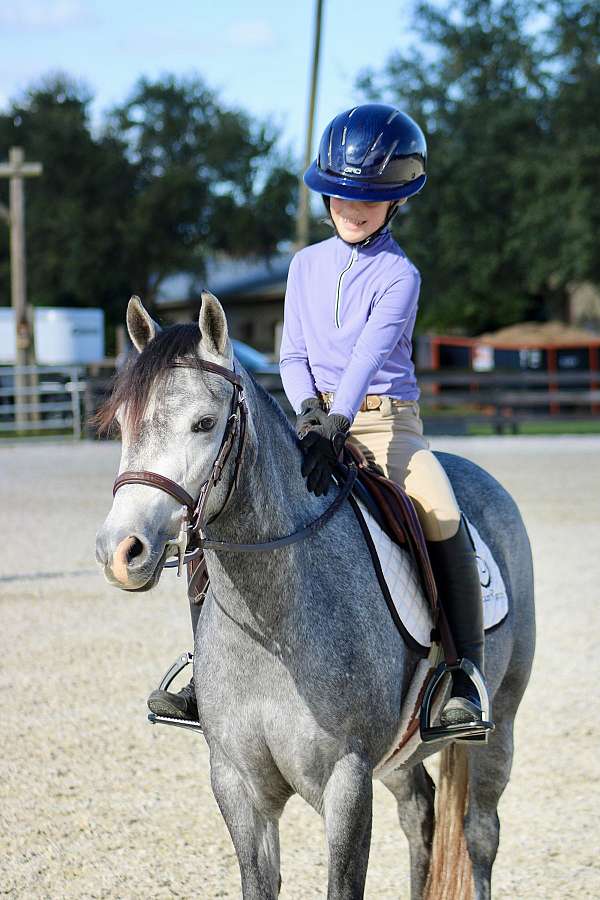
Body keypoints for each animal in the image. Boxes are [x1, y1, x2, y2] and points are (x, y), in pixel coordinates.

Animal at [97, 296, 536, 900]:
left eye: (204, 423)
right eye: (123, 425)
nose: (122, 550)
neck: (271, 626)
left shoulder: (346, 780)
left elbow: (344, 884)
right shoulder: (238, 787)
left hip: (501, 726)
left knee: (480, 835)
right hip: (399, 756)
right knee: (420, 815)